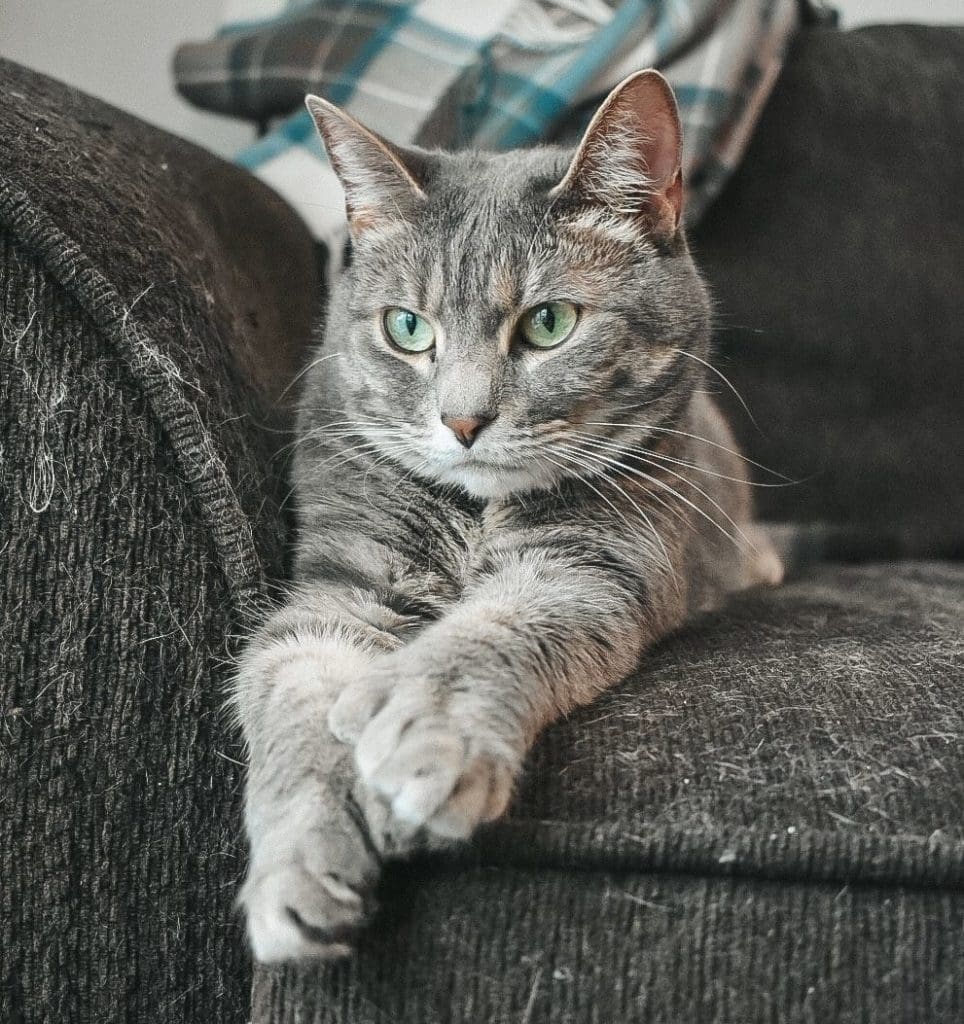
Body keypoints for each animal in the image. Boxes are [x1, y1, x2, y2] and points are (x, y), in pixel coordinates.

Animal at [234, 70, 782, 958]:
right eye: (408, 328)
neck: (476, 512)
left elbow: (486, 634)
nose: (463, 421)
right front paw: (299, 865)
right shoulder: (341, 590)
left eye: (549, 324)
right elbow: (291, 694)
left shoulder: (591, 565)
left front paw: (421, 733)